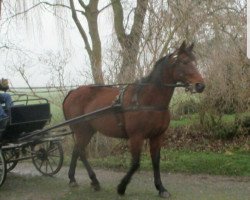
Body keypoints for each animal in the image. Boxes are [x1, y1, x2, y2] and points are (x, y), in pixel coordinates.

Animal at [62, 41, 205, 198]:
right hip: (82, 130)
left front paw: (161, 188)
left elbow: (156, 161)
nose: (200, 85)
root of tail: (72, 92)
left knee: (77, 151)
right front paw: (121, 187)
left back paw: (75, 179)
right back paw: (91, 180)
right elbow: (136, 163)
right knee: (80, 151)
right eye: (184, 62)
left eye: (195, 61)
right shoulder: (136, 136)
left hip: (88, 130)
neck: (147, 100)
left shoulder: (157, 136)